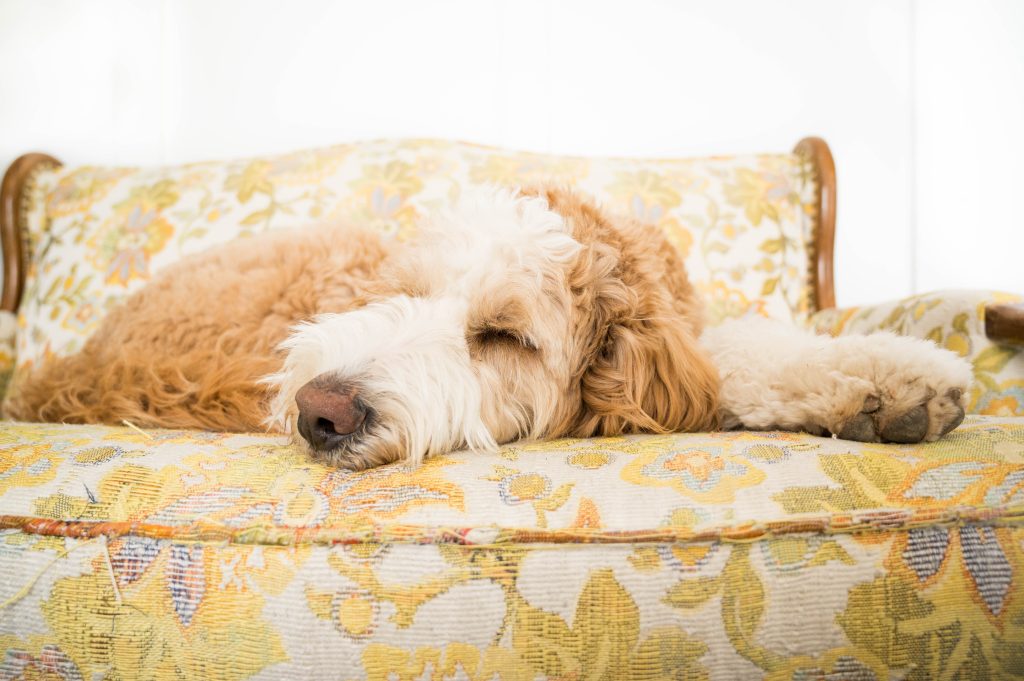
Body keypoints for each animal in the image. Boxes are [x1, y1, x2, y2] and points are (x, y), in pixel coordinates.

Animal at [4, 187, 970, 473]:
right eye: (400, 292)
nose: (319, 410)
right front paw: (887, 378)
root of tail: (72, 367)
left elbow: (737, 350)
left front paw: (889, 377)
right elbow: (728, 363)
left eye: (504, 336)